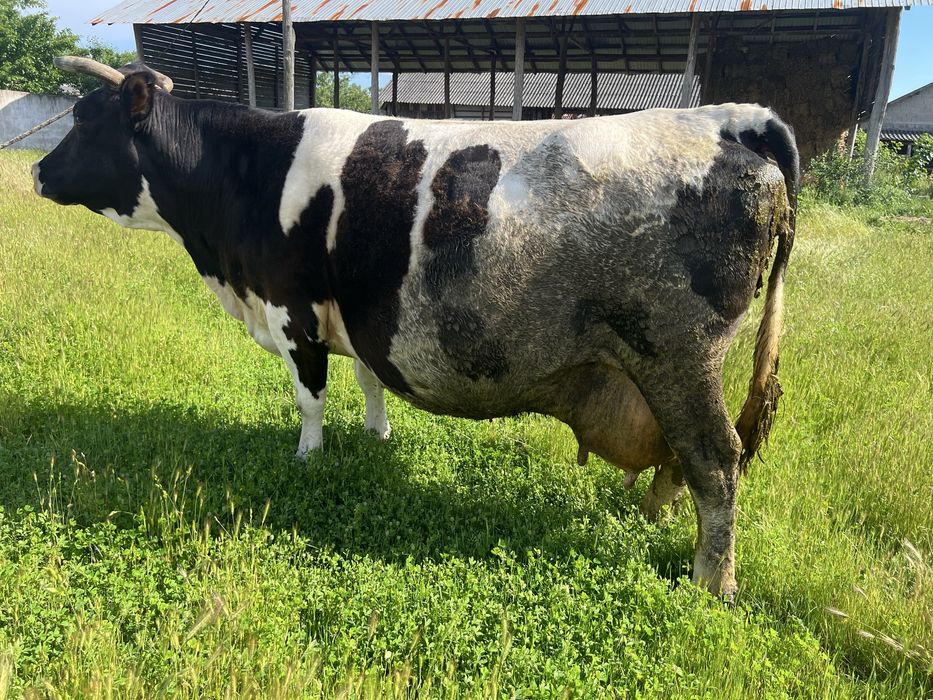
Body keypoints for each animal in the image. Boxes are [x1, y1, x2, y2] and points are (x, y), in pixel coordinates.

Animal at [34, 57, 798, 599]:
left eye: (84, 118)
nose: (38, 170)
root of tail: (732, 121)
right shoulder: (355, 315)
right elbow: (368, 379)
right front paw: (377, 436)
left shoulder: (291, 309)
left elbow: (309, 397)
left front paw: (307, 458)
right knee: (684, 456)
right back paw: (654, 515)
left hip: (677, 357)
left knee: (716, 459)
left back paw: (711, 581)